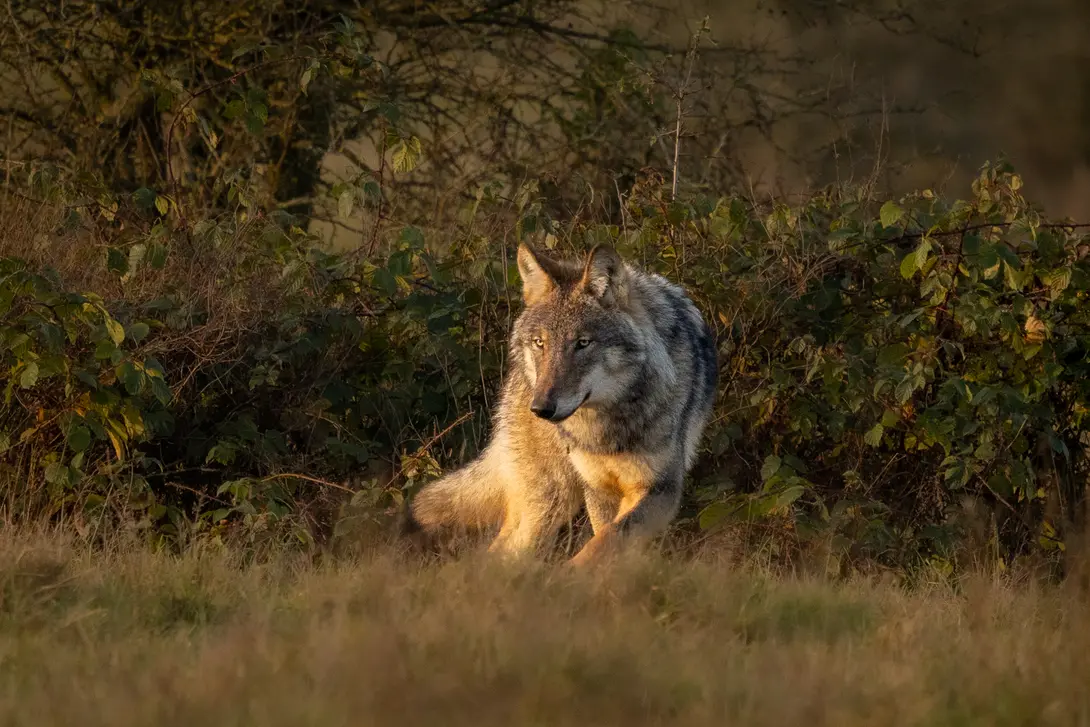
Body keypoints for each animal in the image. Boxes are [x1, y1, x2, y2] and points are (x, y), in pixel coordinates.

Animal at [402, 243, 718, 565]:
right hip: (548, 503)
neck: (604, 427)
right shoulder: (598, 490)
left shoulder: (658, 489)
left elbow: (609, 540)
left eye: (582, 343)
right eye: (540, 343)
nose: (541, 408)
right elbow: (603, 539)